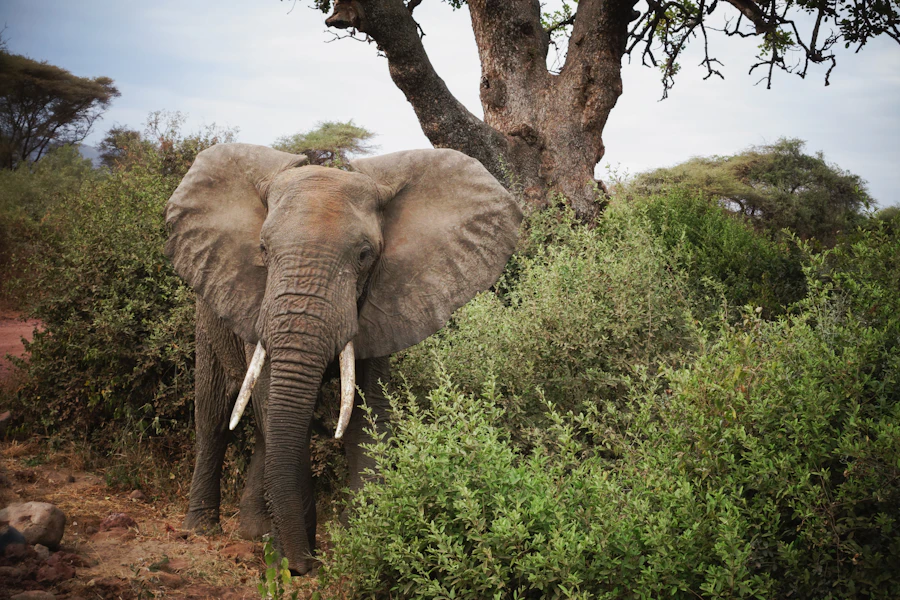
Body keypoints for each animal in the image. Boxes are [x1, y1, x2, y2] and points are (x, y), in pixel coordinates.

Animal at [164, 143, 522, 574]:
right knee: (215, 414)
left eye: (365, 255)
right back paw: (202, 529)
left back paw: (254, 533)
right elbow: (274, 403)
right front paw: (297, 559)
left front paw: (361, 541)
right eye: (263, 250)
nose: (303, 566)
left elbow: (367, 413)